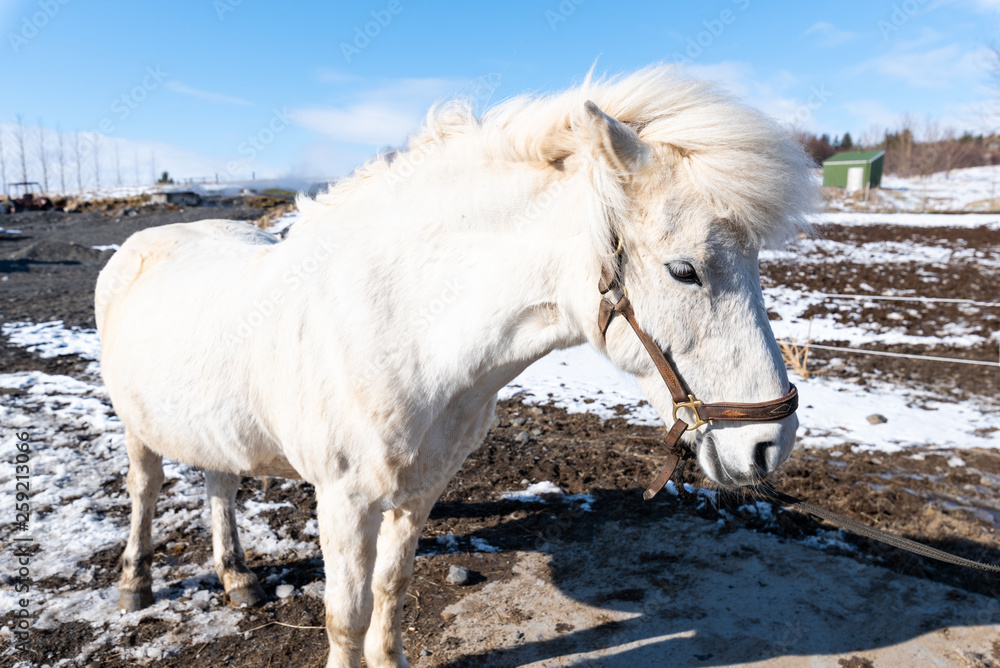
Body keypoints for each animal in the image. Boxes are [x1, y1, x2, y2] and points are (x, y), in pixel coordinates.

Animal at [95, 65, 814, 667]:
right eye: (684, 270)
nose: (769, 445)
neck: (404, 332)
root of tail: (142, 242)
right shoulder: (343, 500)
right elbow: (345, 615)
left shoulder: (419, 492)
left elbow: (391, 590)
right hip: (137, 429)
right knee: (144, 491)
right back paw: (135, 584)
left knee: (219, 480)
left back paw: (238, 577)